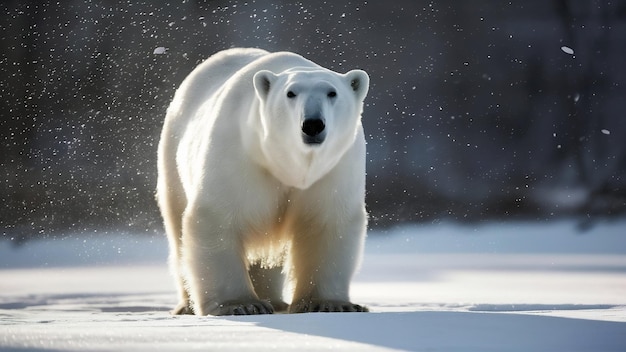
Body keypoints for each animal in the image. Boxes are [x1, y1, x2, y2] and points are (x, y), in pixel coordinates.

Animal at [156, 47, 368, 316]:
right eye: (291, 93)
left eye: (332, 92)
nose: (312, 124)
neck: (287, 164)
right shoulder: (237, 154)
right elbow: (217, 218)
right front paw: (241, 305)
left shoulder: (334, 169)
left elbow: (327, 222)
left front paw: (329, 304)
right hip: (172, 157)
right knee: (177, 228)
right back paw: (187, 306)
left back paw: (276, 301)